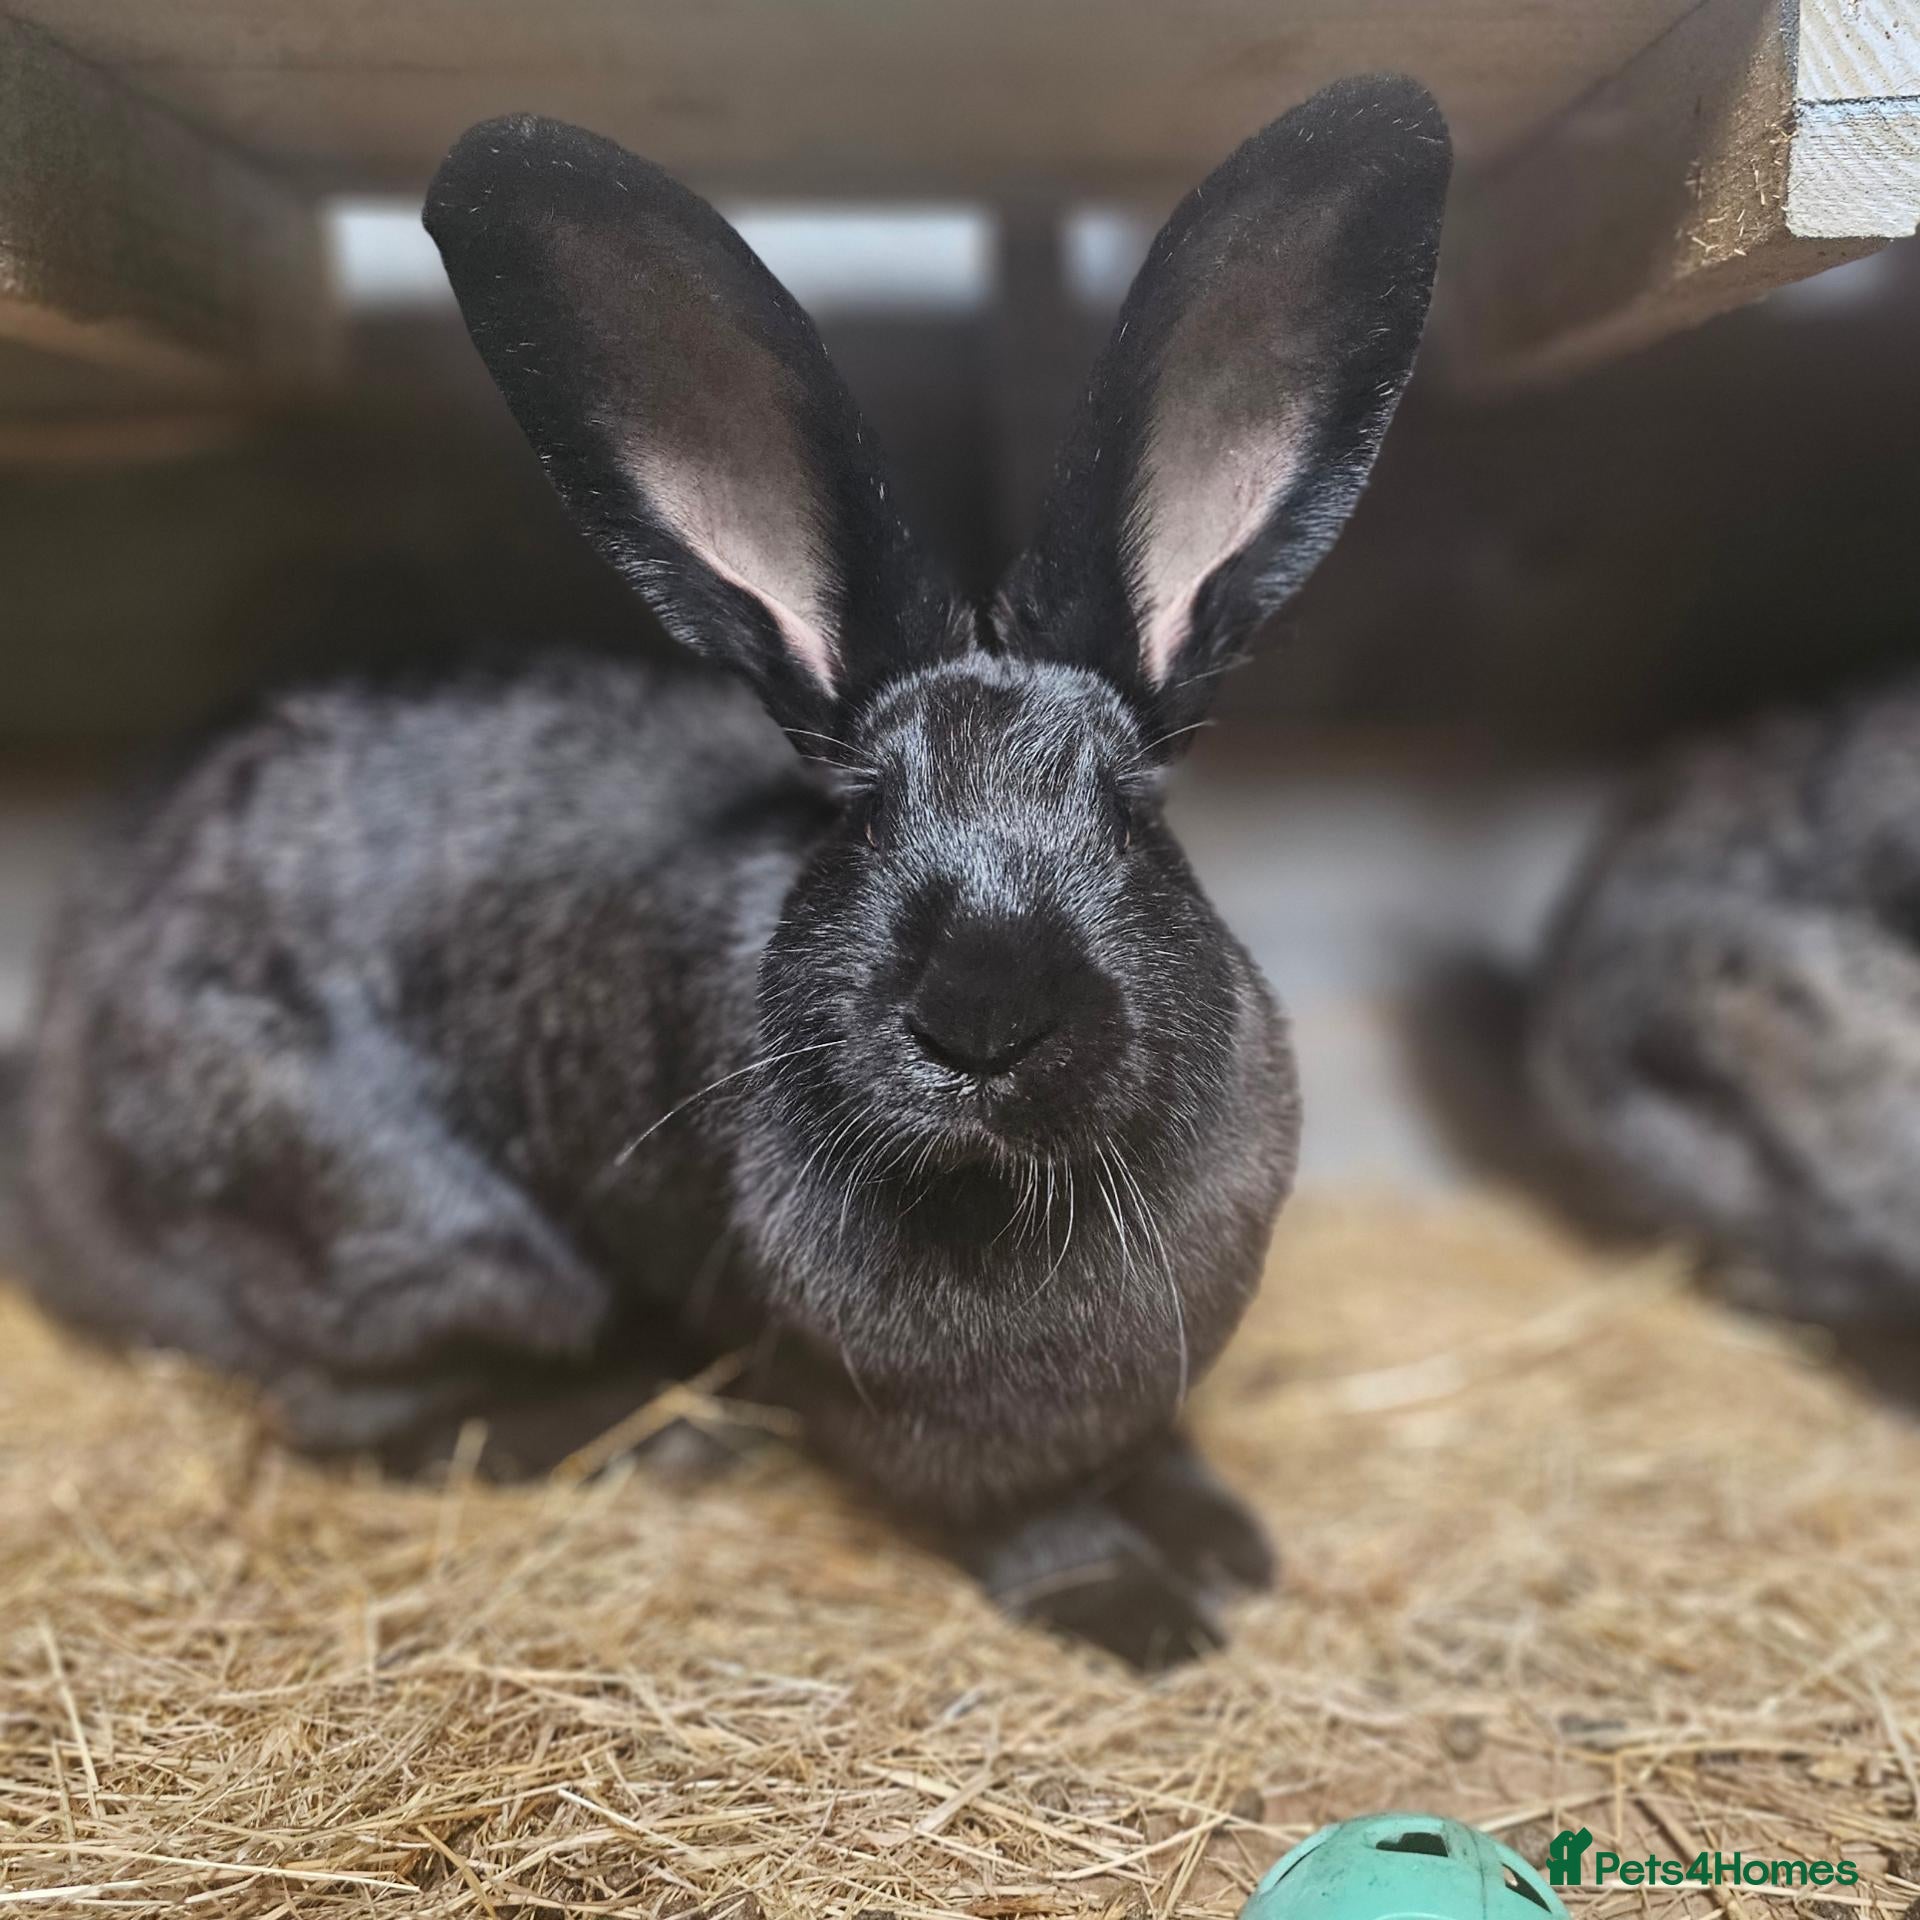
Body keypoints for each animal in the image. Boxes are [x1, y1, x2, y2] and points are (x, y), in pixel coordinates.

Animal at [16, 77, 1449, 1667]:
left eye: (1131, 812)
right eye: (865, 812)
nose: (984, 1017)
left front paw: (1226, 1545)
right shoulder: (915, 1423)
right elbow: (1024, 1520)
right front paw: (1143, 1615)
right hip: (417, 1245)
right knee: (346, 1407)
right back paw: (653, 1433)